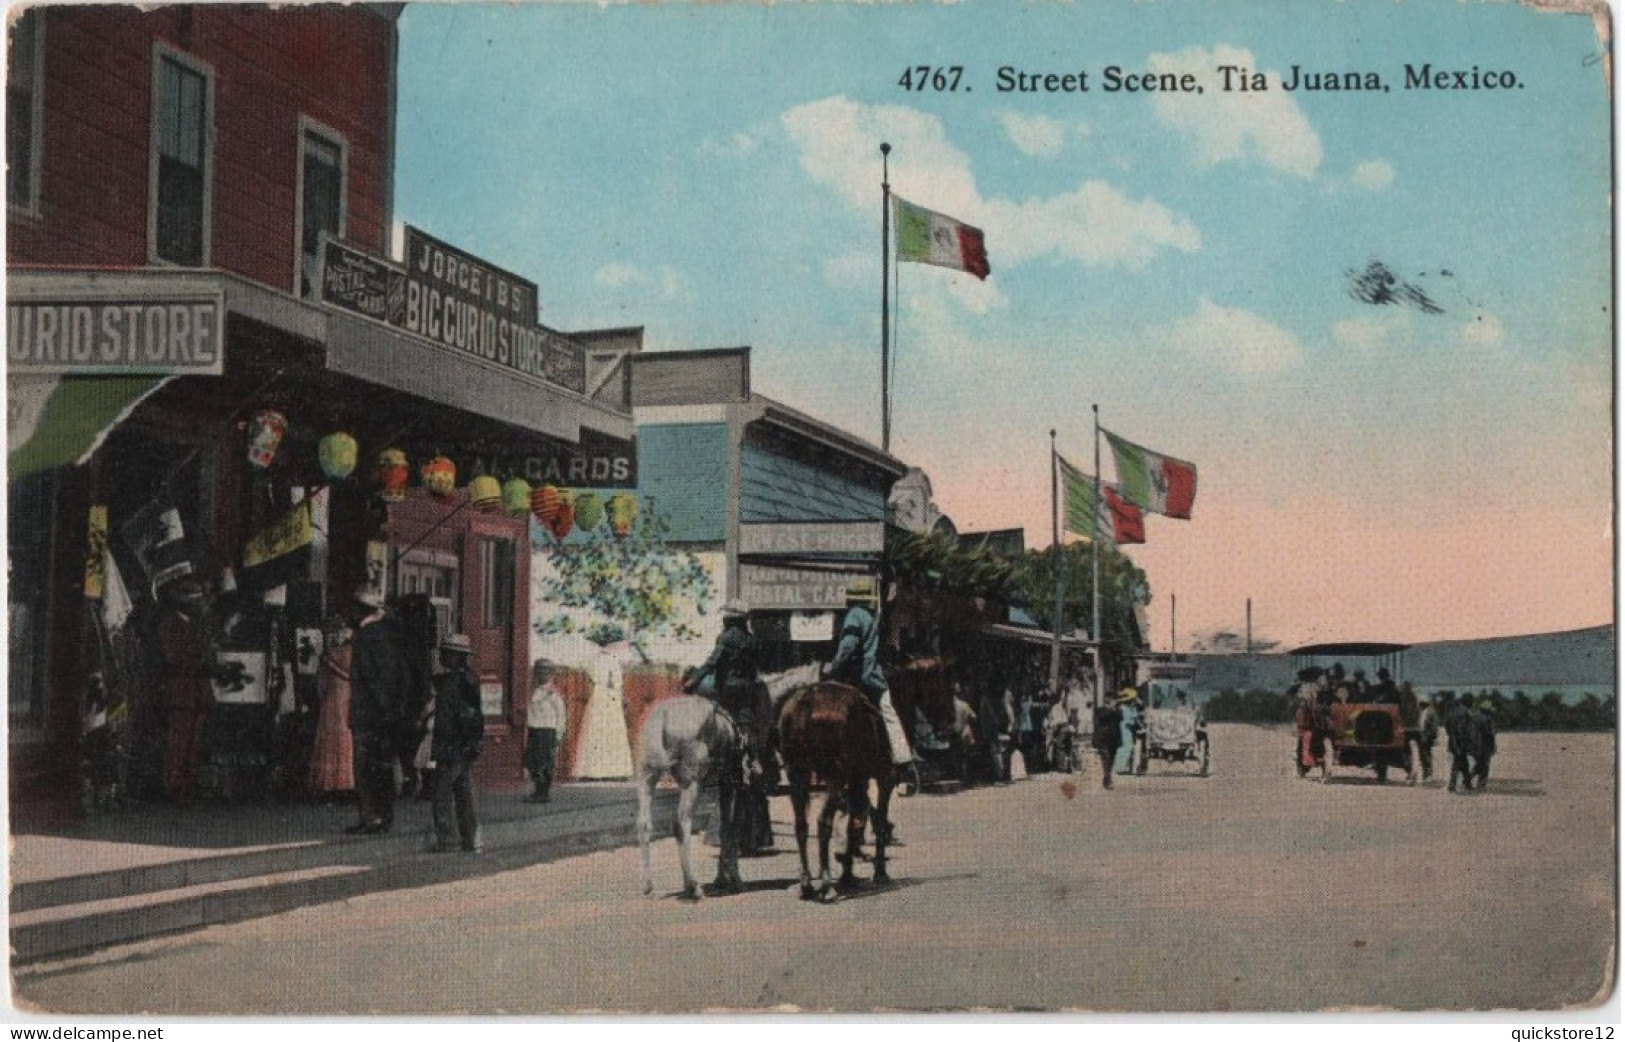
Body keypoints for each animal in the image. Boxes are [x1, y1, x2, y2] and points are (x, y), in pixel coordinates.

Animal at [776, 679, 903, 897]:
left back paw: (806, 883)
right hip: (836, 773)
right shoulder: (877, 776)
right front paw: (878, 872)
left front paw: (848, 874)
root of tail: (805, 703)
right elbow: (869, 821)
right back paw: (826, 882)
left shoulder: (857, 780)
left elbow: (853, 823)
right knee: (823, 821)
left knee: (801, 824)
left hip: (796, 771)